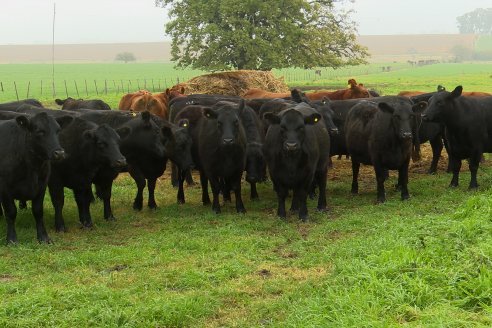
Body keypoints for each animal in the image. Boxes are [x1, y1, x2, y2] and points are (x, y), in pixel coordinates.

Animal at [0, 113, 68, 243]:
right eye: (39, 131)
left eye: (58, 130)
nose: (60, 153)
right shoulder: (4, 188)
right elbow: (11, 212)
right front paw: (11, 239)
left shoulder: (42, 185)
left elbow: (38, 211)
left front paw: (43, 237)